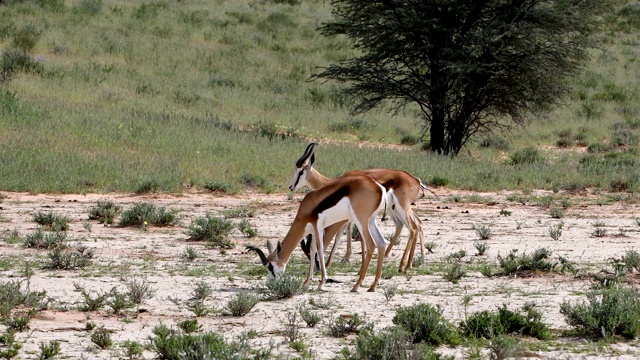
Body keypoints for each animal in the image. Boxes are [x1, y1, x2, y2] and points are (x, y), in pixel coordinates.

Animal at [246, 175, 388, 292]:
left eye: (270, 266)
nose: (271, 283)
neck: (307, 207)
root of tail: (378, 187)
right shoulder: (313, 230)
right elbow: (313, 249)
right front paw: (307, 282)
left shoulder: (317, 225)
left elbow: (320, 249)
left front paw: (321, 283)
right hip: (371, 221)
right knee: (381, 243)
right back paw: (373, 286)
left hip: (361, 220)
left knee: (371, 245)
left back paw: (356, 286)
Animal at [288, 142, 424, 272]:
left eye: (300, 171)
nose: (290, 186)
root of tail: (416, 180)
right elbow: (344, 233)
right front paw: (345, 258)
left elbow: (347, 234)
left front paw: (346, 259)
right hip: (396, 209)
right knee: (415, 224)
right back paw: (411, 261)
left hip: (402, 208)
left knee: (413, 228)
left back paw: (403, 265)